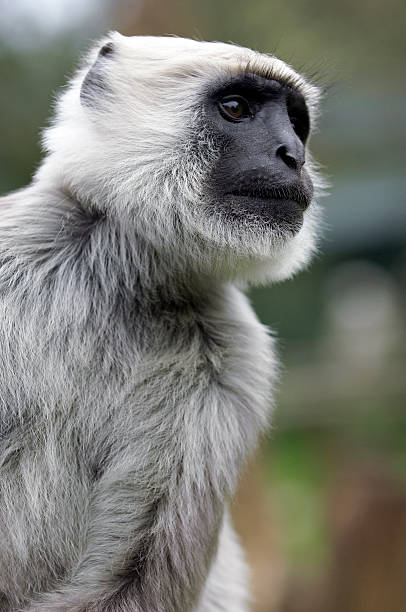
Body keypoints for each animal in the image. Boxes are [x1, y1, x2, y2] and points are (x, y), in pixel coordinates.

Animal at [0, 33, 324, 612]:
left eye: (295, 123)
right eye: (235, 108)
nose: (293, 156)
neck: (119, 274)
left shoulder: (232, 358)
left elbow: (132, 580)